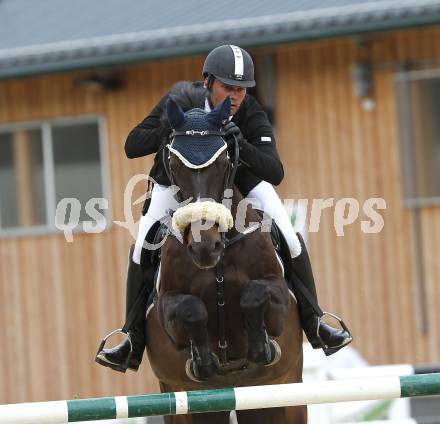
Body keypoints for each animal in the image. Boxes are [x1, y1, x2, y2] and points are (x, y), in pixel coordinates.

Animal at [144, 97, 306, 424]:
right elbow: (191, 308)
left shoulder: (278, 296)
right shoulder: (168, 307)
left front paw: (261, 348)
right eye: (174, 166)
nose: (205, 247)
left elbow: (254, 295)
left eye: (224, 162)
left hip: (284, 398)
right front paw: (203, 363)